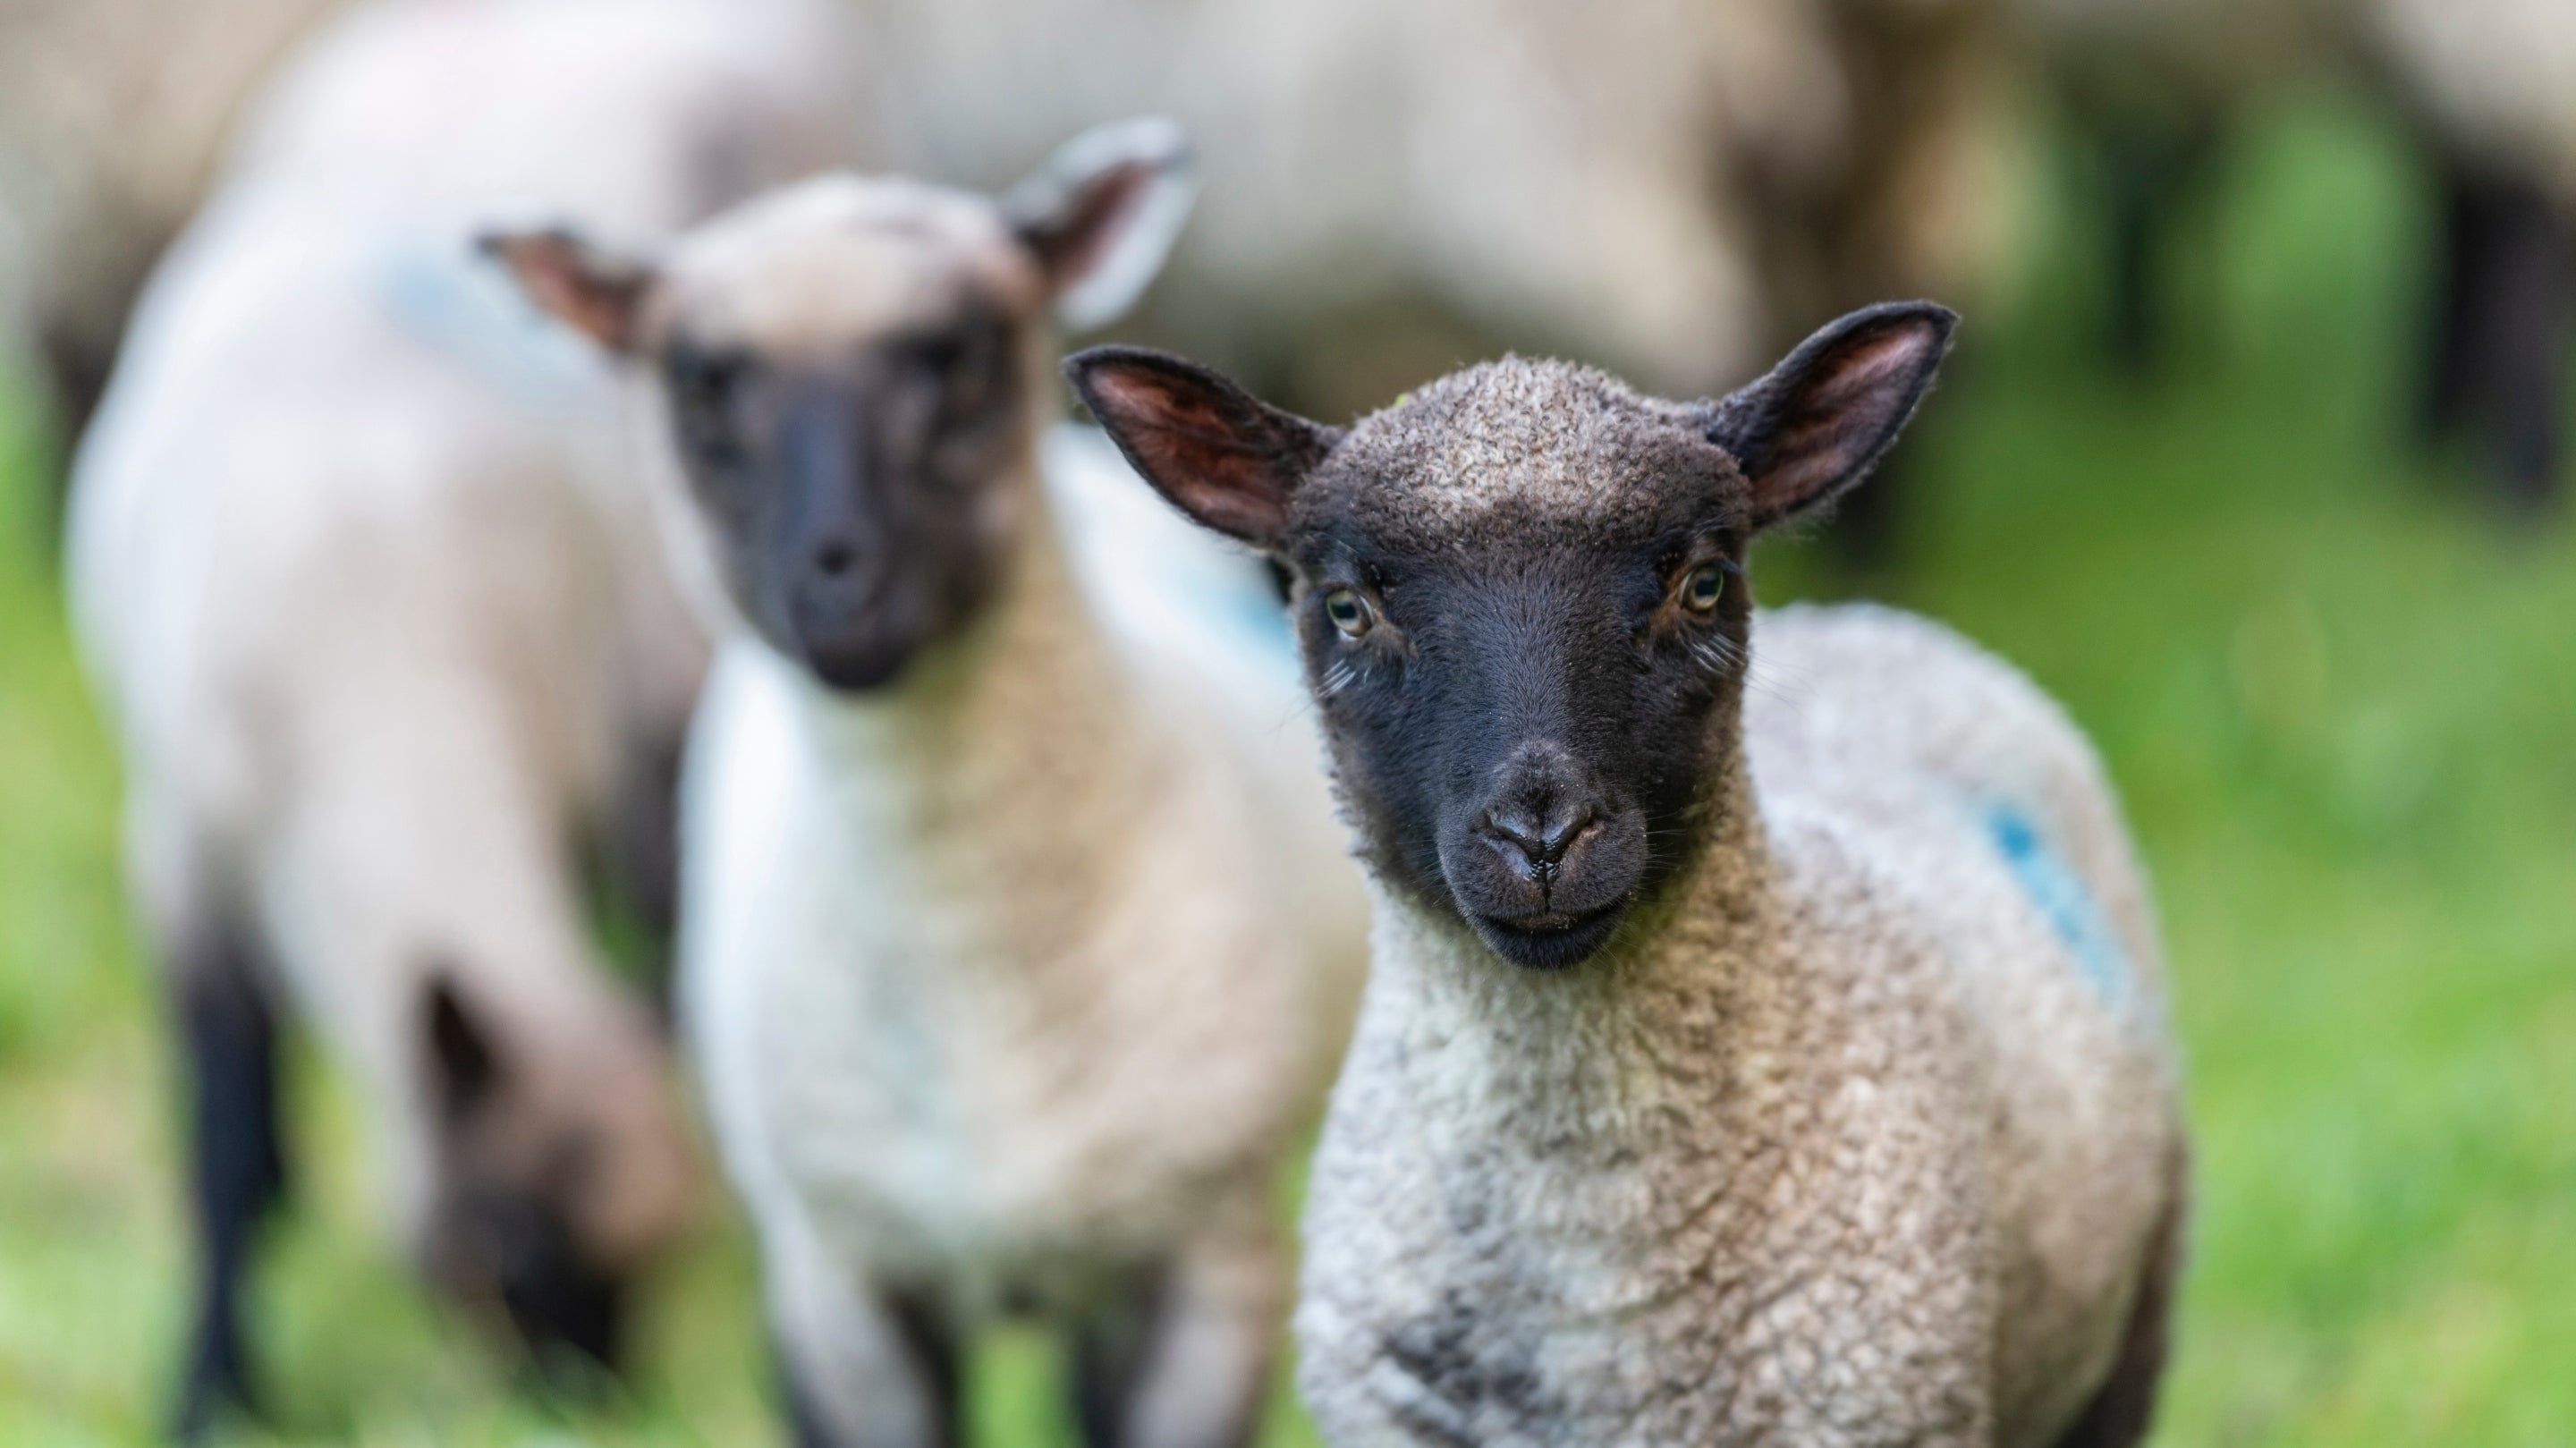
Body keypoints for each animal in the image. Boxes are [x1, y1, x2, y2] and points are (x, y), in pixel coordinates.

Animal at [63, 0, 854, 1434]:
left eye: (655, 1263)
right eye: (500, 1245)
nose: (583, 1404)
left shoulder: (611, 748)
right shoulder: (185, 865)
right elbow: (222, 1147)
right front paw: (214, 1388)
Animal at [488, 118, 1368, 1448]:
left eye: (956, 357)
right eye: (699, 383)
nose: (839, 594)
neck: (978, 984)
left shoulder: (1212, 1261)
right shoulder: (836, 1285)